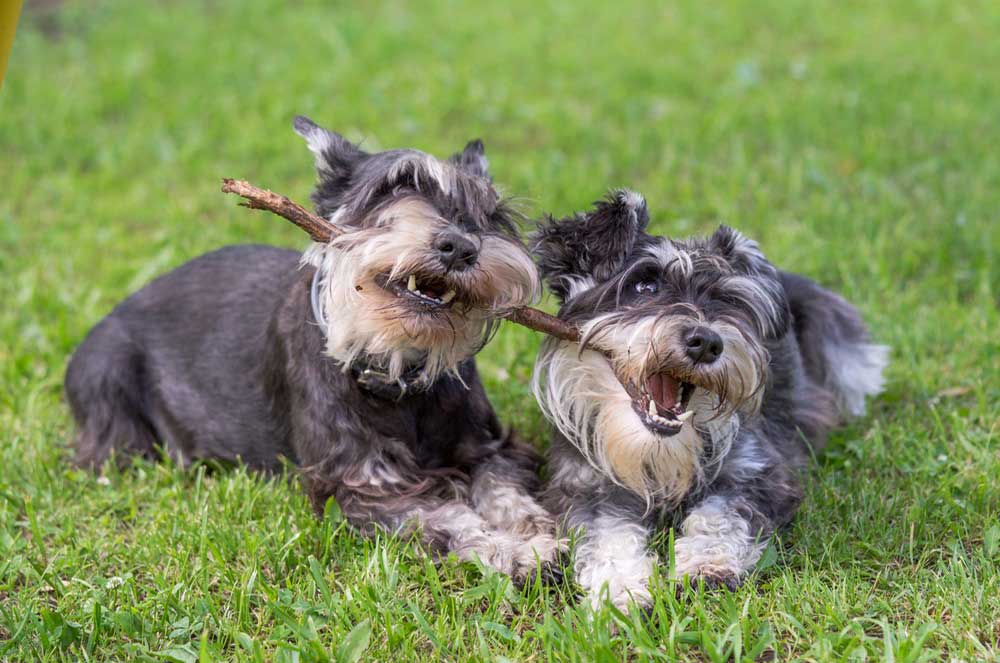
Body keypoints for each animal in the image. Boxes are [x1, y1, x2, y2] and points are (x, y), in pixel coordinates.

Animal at [63, 116, 564, 584]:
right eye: (398, 184)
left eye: (492, 211)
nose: (460, 246)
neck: (396, 371)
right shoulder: (363, 486)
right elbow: (450, 518)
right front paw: (512, 551)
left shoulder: (489, 448)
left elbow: (505, 491)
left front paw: (536, 530)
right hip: (109, 387)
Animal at [528, 189, 888, 608]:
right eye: (644, 286)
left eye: (726, 300)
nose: (706, 343)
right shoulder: (587, 489)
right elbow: (608, 536)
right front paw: (621, 590)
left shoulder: (752, 473)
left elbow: (719, 515)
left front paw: (705, 568)